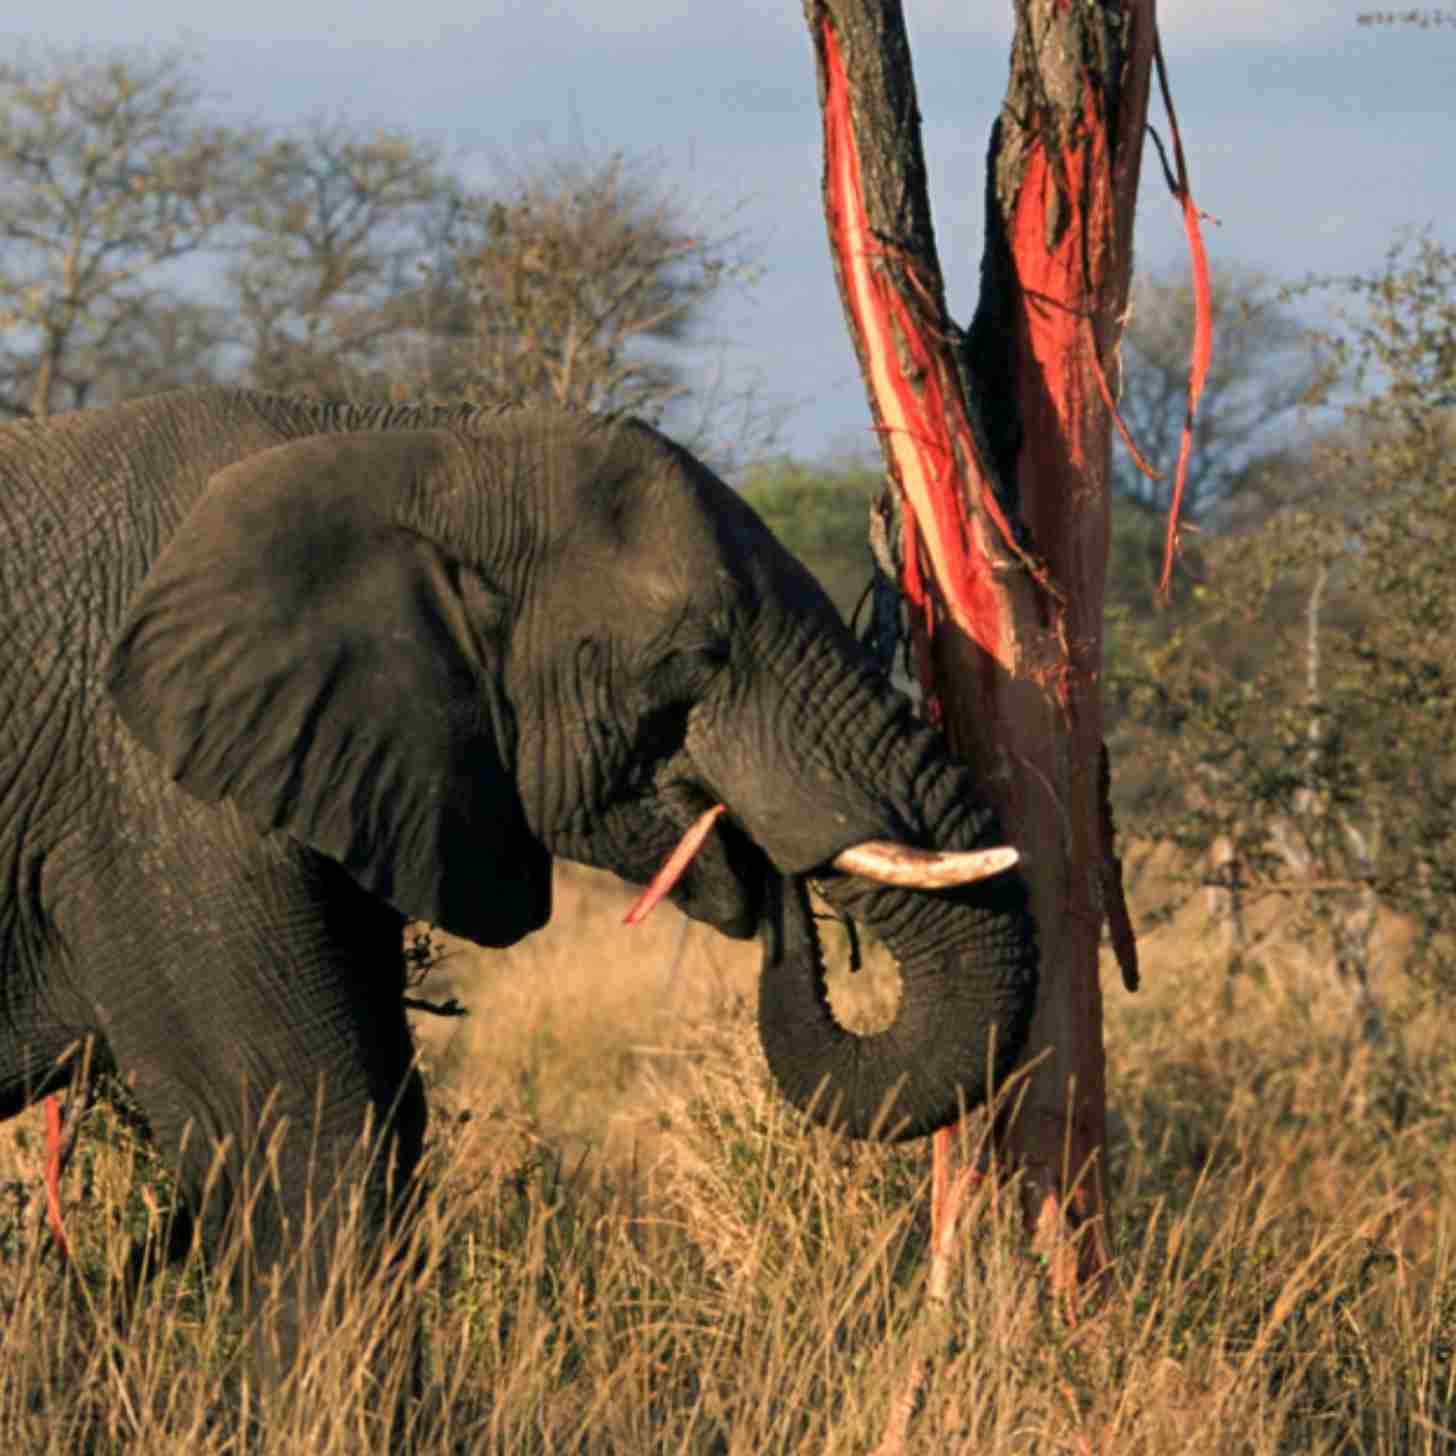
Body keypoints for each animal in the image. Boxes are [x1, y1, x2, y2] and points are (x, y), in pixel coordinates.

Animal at [0, 387, 1036, 1387]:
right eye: (699, 657)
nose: (762, 854)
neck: (407, 442)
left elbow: (387, 1114)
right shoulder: (154, 806)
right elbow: (303, 1131)